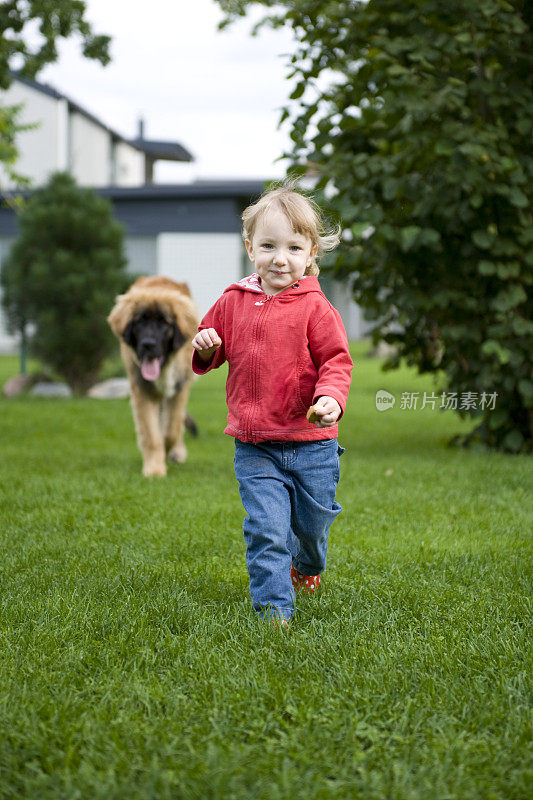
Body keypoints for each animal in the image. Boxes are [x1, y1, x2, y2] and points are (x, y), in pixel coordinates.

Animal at [108, 276, 200, 476]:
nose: (148, 344)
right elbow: (152, 434)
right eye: (140, 322)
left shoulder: (179, 388)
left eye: (163, 322)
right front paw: (155, 469)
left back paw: (176, 452)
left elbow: (171, 430)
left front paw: (167, 452)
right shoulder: (143, 390)